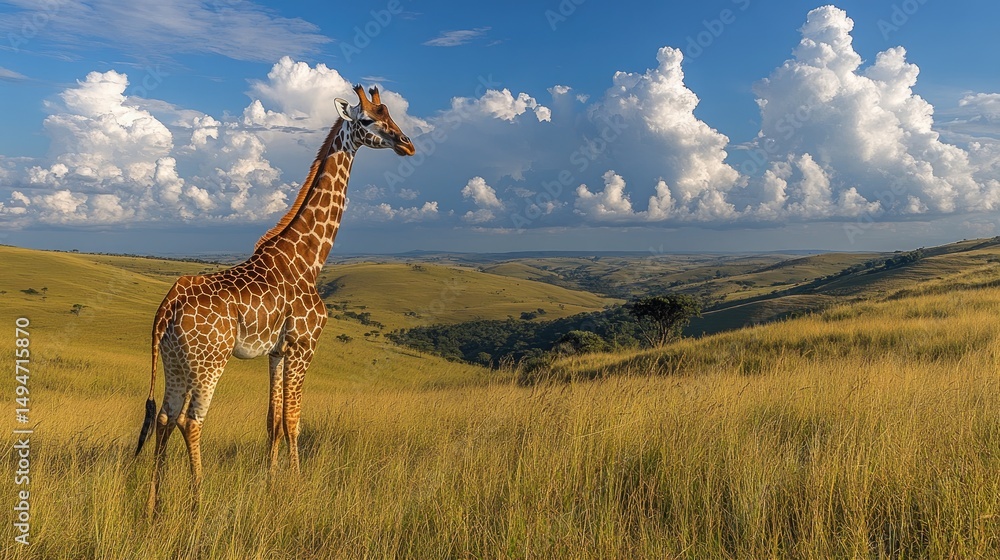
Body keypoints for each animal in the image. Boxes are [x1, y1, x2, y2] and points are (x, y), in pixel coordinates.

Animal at [135, 85, 415, 515]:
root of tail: (167, 306)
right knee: (190, 421)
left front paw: (271, 483)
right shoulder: (304, 344)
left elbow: (273, 420)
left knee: (165, 418)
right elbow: (294, 419)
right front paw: (297, 486)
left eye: (393, 114)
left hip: (175, 362)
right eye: (369, 119)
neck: (310, 258)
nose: (407, 143)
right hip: (209, 362)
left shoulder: (277, 351)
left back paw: (155, 504)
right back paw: (199, 502)